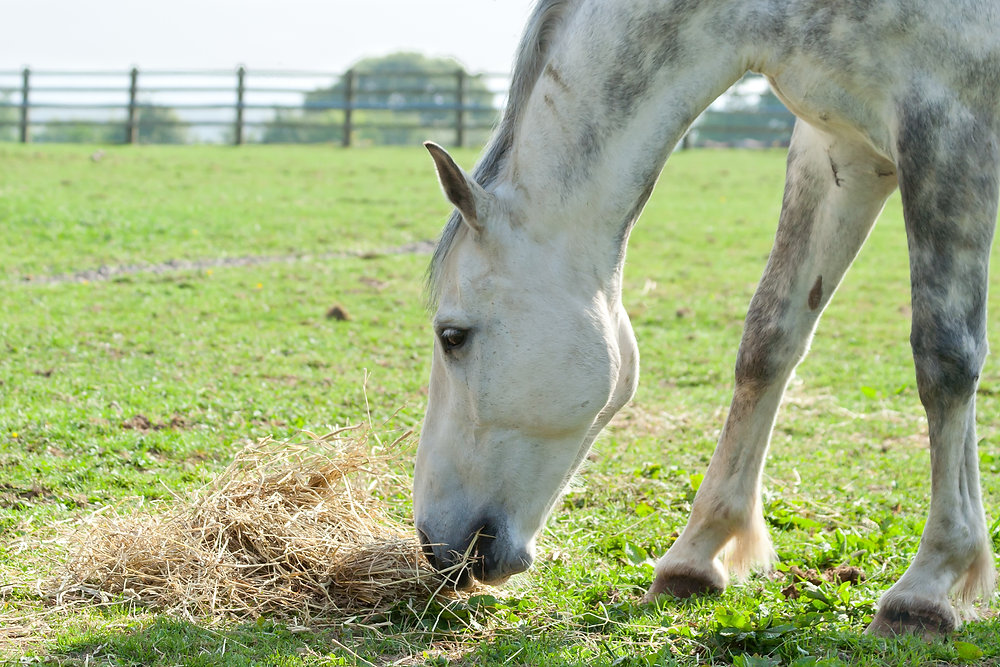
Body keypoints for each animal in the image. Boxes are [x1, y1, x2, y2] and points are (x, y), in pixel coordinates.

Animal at [412, 0, 1000, 636]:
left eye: (452, 336)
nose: (434, 544)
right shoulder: (841, 151)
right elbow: (768, 340)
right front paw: (695, 556)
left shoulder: (950, 127)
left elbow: (945, 356)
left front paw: (930, 585)